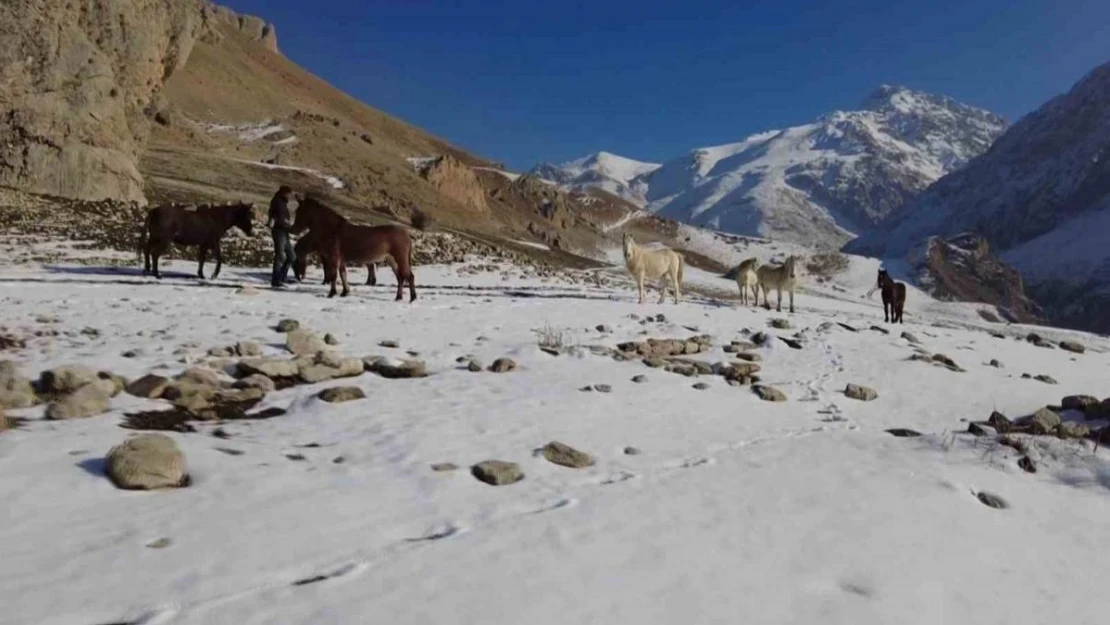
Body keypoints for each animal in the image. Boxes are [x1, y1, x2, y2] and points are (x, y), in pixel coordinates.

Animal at [288, 196, 421, 301]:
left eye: (299, 211)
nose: (292, 230)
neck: (331, 230)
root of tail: (407, 235)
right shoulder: (340, 259)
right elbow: (343, 275)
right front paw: (344, 292)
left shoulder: (333, 257)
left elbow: (333, 275)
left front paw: (332, 293)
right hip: (392, 260)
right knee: (400, 277)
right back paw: (398, 297)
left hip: (400, 258)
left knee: (409, 276)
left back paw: (412, 298)